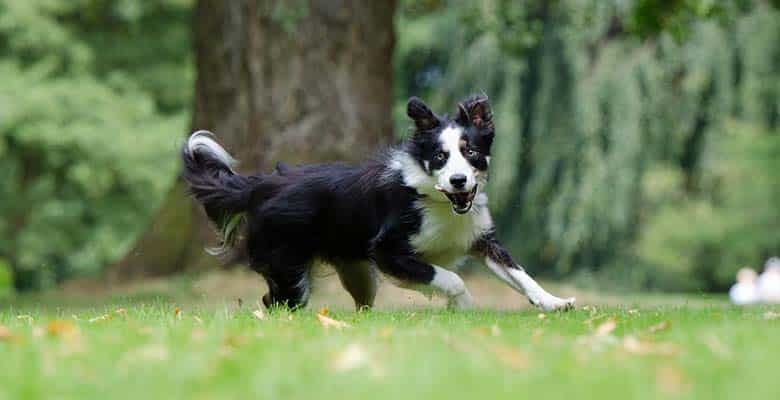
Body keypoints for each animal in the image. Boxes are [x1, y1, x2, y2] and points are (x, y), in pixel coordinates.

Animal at [181, 94, 572, 312]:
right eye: (440, 157)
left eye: (471, 152)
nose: (459, 181)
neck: (438, 201)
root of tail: (261, 185)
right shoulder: (388, 251)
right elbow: (450, 277)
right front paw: (463, 305)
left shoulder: (479, 237)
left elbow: (521, 275)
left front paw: (554, 302)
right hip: (287, 266)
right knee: (275, 302)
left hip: (356, 272)